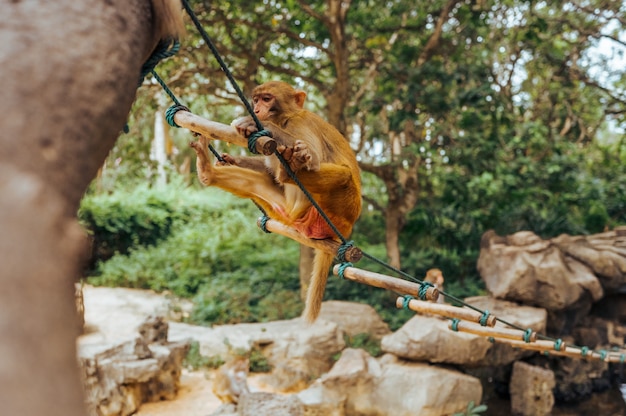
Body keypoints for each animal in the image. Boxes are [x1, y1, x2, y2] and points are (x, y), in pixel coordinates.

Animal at [189, 80, 360, 322]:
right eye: (256, 99)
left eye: (267, 99)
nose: (257, 108)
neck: (286, 118)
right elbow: (267, 170)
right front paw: (232, 159)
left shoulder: (300, 122)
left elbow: (314, 159)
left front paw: (256, 123)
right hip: (285, 212)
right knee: (260, 182)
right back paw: (207, 173)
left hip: (338, 211)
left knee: (341, 174)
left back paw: (289, 170)